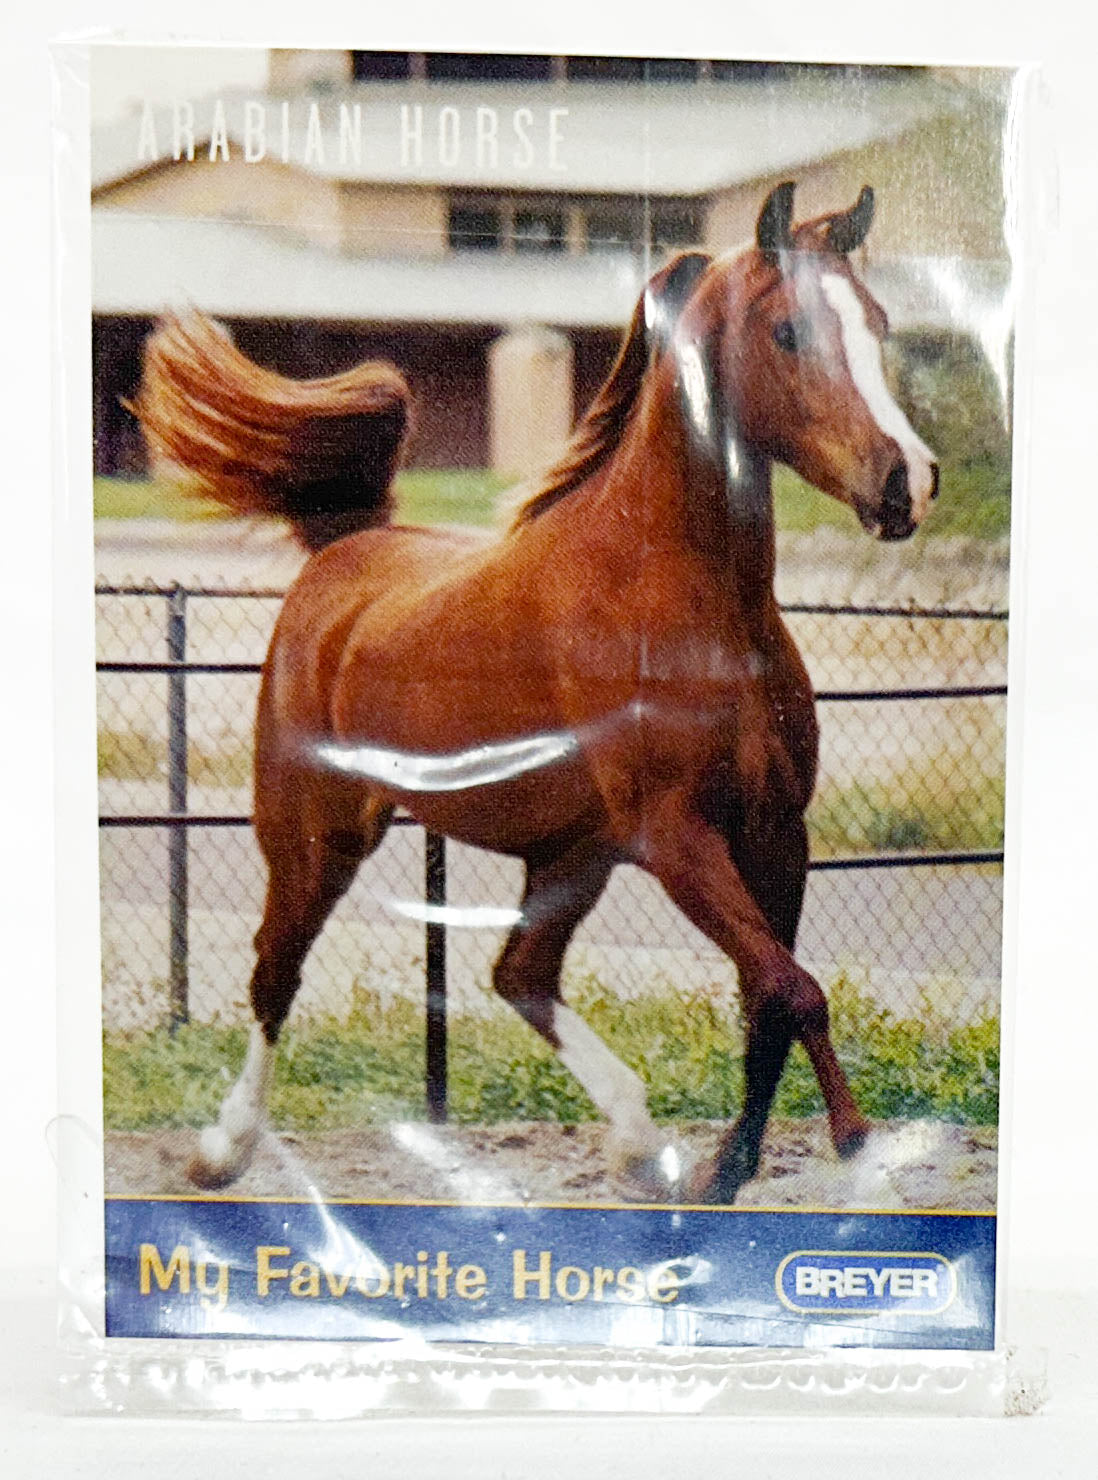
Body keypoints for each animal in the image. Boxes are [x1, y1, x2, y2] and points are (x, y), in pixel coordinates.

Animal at [134, 181, 939, 1205]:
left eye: (878, 323)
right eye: (789, 331)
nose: (907, 482)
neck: (687, 605)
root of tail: (342, 549)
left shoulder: (775, 830)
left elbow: (769, 1001)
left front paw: (726, 1172)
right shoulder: (676, 836)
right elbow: (796, 990)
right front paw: (857, 1150)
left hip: (568, 854)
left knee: (520, 974)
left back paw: (637, 1145)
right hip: (315, 837)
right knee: (275, 977)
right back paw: (222, 1151)